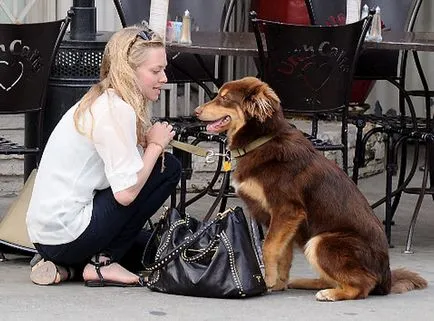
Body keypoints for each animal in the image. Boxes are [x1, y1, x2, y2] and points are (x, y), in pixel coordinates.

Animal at [196, 77, 428, 300]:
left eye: (225, 98)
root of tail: (386, 277)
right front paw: (279, 283)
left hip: (321, 241)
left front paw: (267, 280)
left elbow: (268, 247)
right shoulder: (284, 220)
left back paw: (331, 293)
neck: (260, 141)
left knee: (363, 285)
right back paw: (306, 283)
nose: (196, 112)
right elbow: (283, 253)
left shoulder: (286, 210)